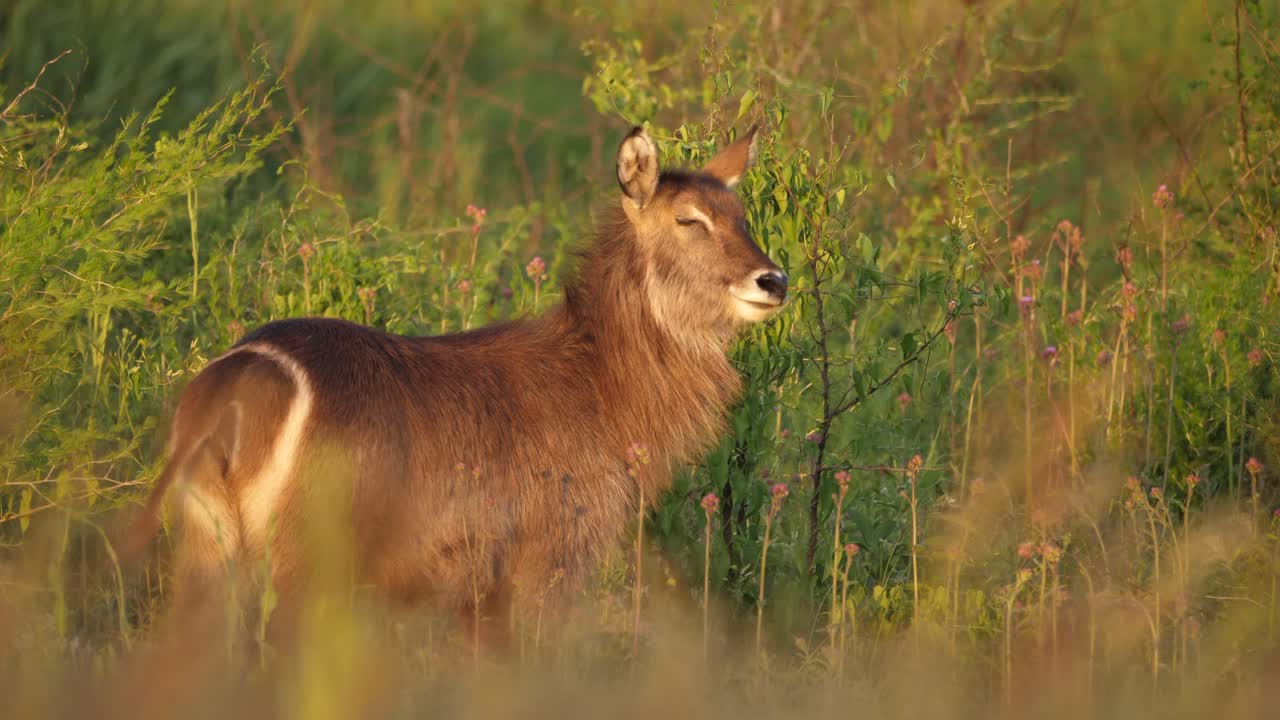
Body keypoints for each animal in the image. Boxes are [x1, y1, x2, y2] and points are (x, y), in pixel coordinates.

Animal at [125, 126, 788, 645]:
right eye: (689, 220)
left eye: (742, 217)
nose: (774, 280)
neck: (598, 381)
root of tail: (240, 375)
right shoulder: (551, 558)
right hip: (305, 561)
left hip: (207, 552)